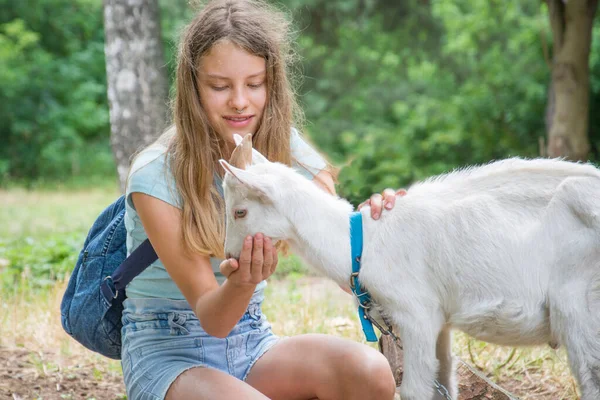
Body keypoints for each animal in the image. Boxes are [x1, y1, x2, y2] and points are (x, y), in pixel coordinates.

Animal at [218, 135, 600, 400]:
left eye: (240, 211)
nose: (230, 257)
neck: (361, 243)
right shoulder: (439, 322)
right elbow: (443, 383)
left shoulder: (416, 313)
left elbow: (415, 389)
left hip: (579, 299)